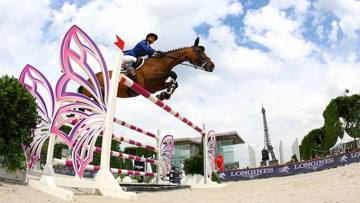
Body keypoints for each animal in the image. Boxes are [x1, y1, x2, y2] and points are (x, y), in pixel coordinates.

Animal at [79, 37, 214, 100]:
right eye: (200, 52)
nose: (212, 66)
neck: (161, 62)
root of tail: (89, 78)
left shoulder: (155, 87)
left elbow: (174, 82)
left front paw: (164, 95)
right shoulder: (149, 81)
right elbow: (173, 73)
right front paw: (166, 93)